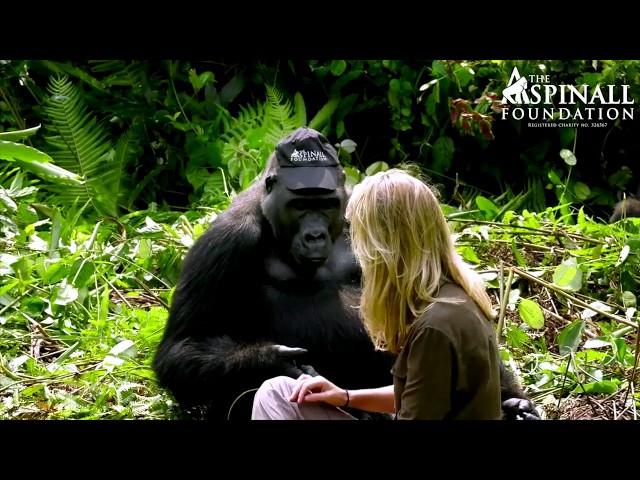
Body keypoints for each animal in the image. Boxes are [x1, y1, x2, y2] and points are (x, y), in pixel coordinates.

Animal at [152, 125, 536, 418]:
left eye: (325, 204)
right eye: (300, 205)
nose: (315, 235)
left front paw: (514, 401)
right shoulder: (226, 239)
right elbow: (182, 349)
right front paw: (269, 361)